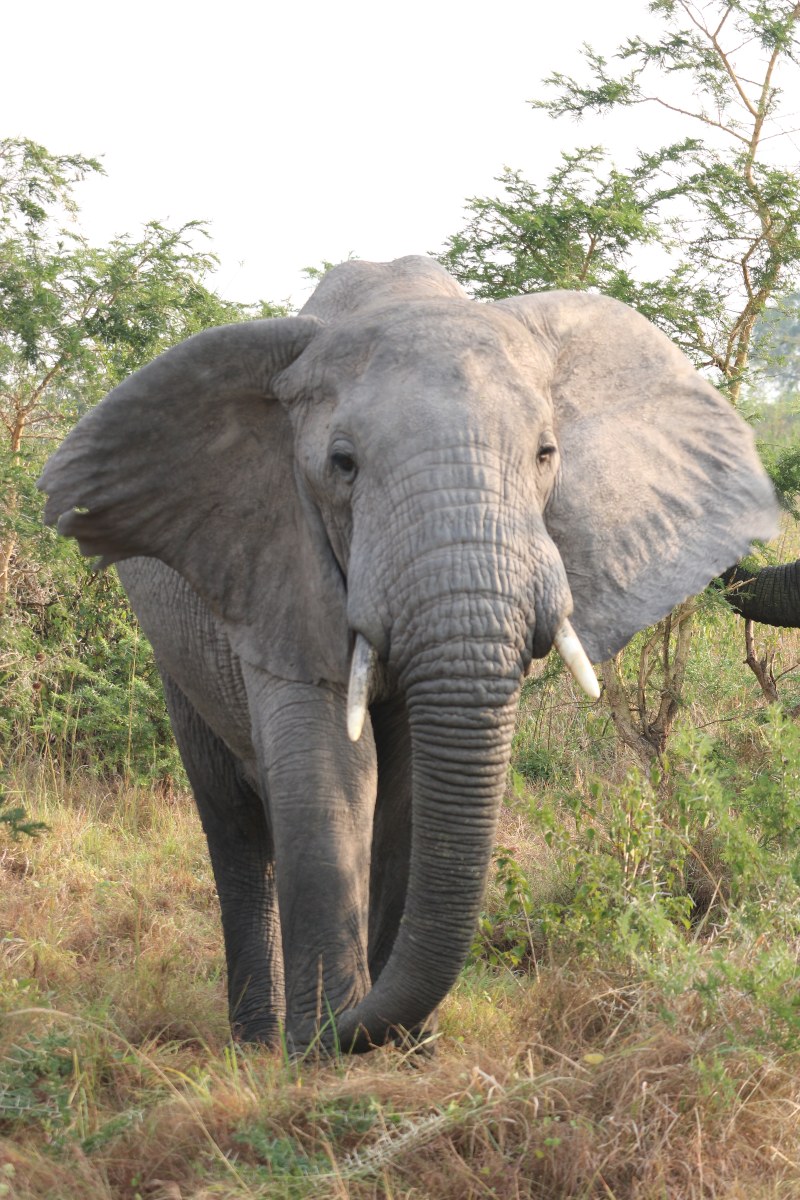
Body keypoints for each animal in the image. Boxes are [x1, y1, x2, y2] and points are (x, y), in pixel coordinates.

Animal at [38, 255, 778, 1053]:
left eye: (545, 454)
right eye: (343, 464)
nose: (349, 1026)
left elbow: (413, 791)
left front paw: (403, 1046)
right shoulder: (278, 562)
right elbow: (332, 771)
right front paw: (321, 1049)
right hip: (177, 647)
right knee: (232, 822)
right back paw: (258, 1041)